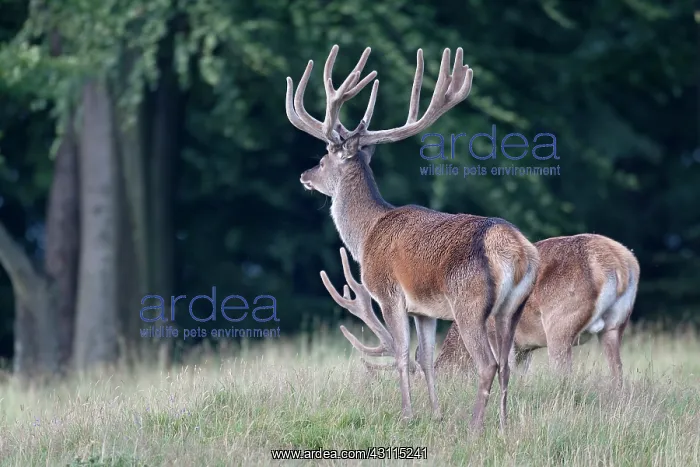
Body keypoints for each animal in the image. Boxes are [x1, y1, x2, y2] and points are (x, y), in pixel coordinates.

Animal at [287, 44, 540, 431]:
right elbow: (425, 357)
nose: (304, 175)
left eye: (326, 155)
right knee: (508, 366)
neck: (367, 234)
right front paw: (434, 413)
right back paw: (502, 425)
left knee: (488, 364)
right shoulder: (425, 309)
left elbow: (403, 354)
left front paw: (407, 414)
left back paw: (474, 427)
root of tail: (515, 249)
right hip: (511, 308)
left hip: (468, 303)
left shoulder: (388, 291)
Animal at [325, 234, 639, 388]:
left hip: (559, 323)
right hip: (616, 326)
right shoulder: (524, 347)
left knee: (565, 375)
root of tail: (621, 264)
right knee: (618, 375)